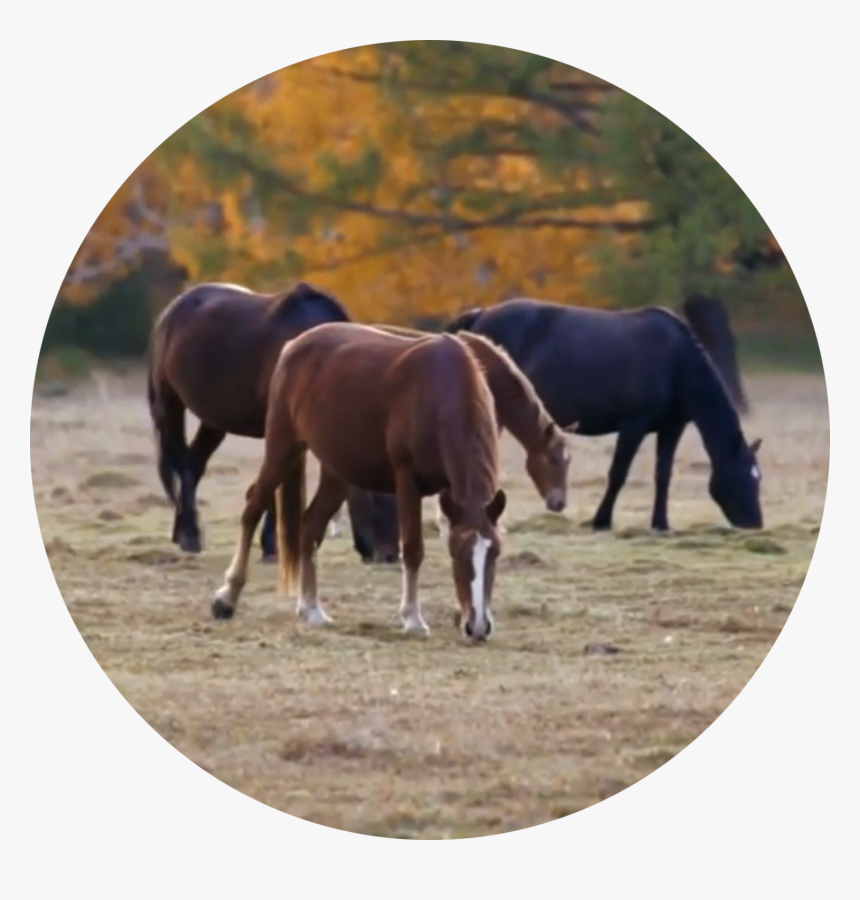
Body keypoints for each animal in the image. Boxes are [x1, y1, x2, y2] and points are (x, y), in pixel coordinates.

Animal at [146, 281, 400, 563]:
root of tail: (172, 309)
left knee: (194, 462)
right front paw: (273, 546)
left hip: (214, 420)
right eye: (375, 497)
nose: (390, 556)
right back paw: (189, 534)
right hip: (168, 404)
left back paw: (181, 530)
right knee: (182, 463)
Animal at [211, 322, 517, 641]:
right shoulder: (407, 480)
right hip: (283, 446)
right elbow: (412, 549)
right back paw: (227, 597)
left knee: (309, 527)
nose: (479, 627)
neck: (441, 392)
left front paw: (460, 613)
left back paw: (311, 609)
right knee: (253, 507)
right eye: (457, 553)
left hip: (337, 471)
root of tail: (293, 345)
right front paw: (413, 618)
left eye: (495, 552)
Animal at [446, 297, 763, 532]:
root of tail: (480, 316)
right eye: (743, 478)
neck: (676, 362)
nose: (755, 524)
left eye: (757, 478)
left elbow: (663, 475)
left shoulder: (671, 428)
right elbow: (618, 474)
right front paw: (601, 521)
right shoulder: (633, 425)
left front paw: (660, 524)